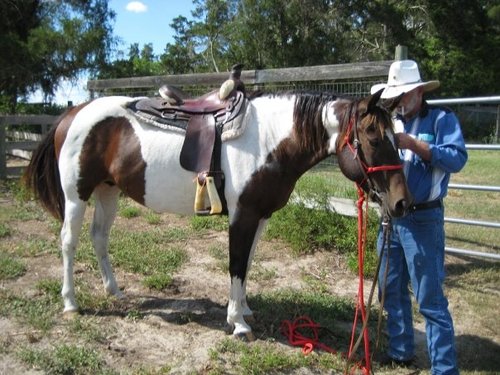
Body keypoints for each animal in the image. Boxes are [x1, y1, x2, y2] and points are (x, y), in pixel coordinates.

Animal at [23, 86, 412, 340]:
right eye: (374, 138)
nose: (401, 203)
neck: (270, 140)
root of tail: (73, 113)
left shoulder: (260, 217)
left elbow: (248, 263)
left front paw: (244, 308)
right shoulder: (242, 216)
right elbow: (236, 264)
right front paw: (237, 322)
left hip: (108, 192)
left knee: (99, 238)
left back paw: (114, 290)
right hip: (77, 196)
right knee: (69, 242)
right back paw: (71, 302)